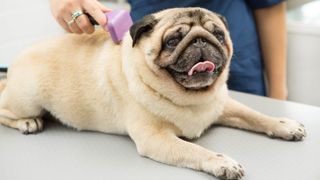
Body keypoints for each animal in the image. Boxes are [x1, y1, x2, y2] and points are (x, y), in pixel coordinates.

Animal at [0, 7, 304, 180]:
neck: (192, 99)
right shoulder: (156, 138)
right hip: (26, 98)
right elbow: (196, 150)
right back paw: (28, 122)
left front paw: (284, 125)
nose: (201, 41)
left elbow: (255, 115)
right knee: (4, 109)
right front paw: (223, 162)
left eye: (218, 36)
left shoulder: (222, 104)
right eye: (172, 41)